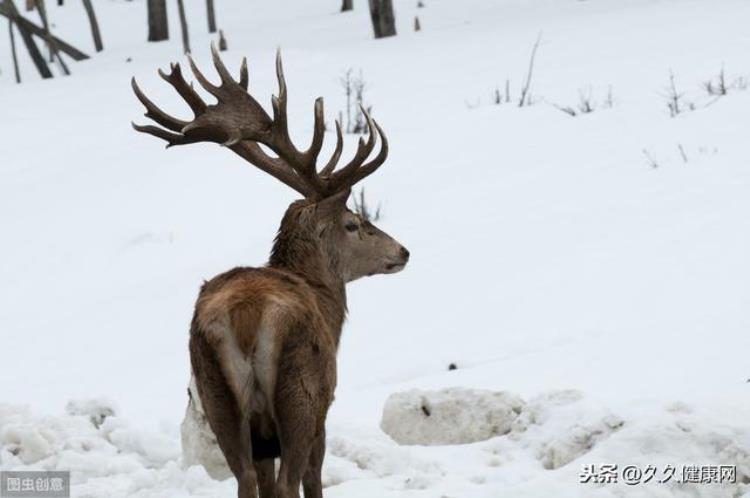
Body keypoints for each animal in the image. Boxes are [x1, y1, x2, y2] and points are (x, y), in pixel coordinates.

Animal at [130, 43, 412, 498]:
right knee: (287, 482)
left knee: (246, 479)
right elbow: (312, 481)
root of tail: (246, 316)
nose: (402, 251)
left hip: (217, 397)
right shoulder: (323, 411)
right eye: (353, 223)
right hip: (299, 392)